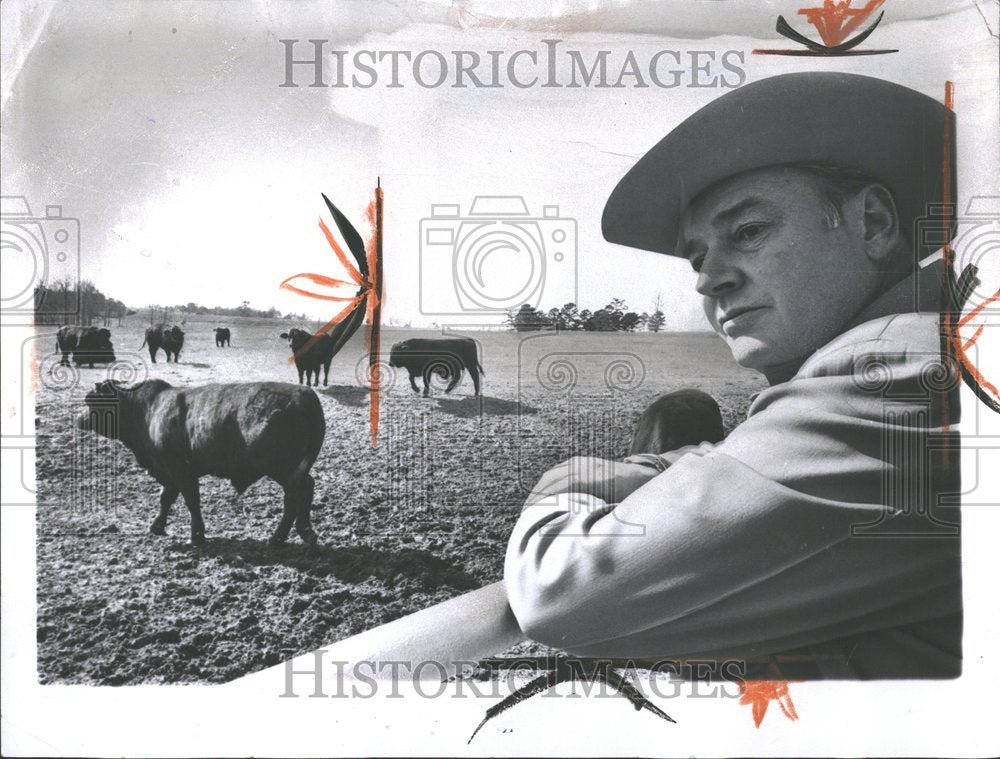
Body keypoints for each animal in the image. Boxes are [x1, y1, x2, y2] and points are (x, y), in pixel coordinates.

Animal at [81, 380, 328, 548]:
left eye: (93, 401)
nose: (79, 419)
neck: (149, 408)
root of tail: (305, 395)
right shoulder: (169, 471)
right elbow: (166, 498)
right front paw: (157, 526)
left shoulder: (178, 469)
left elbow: (191, 499)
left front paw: (197, 535)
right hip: (294, 470)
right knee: (305, 489)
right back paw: (304, 532)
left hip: (282, 469)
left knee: (295, 495)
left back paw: (279, 537)